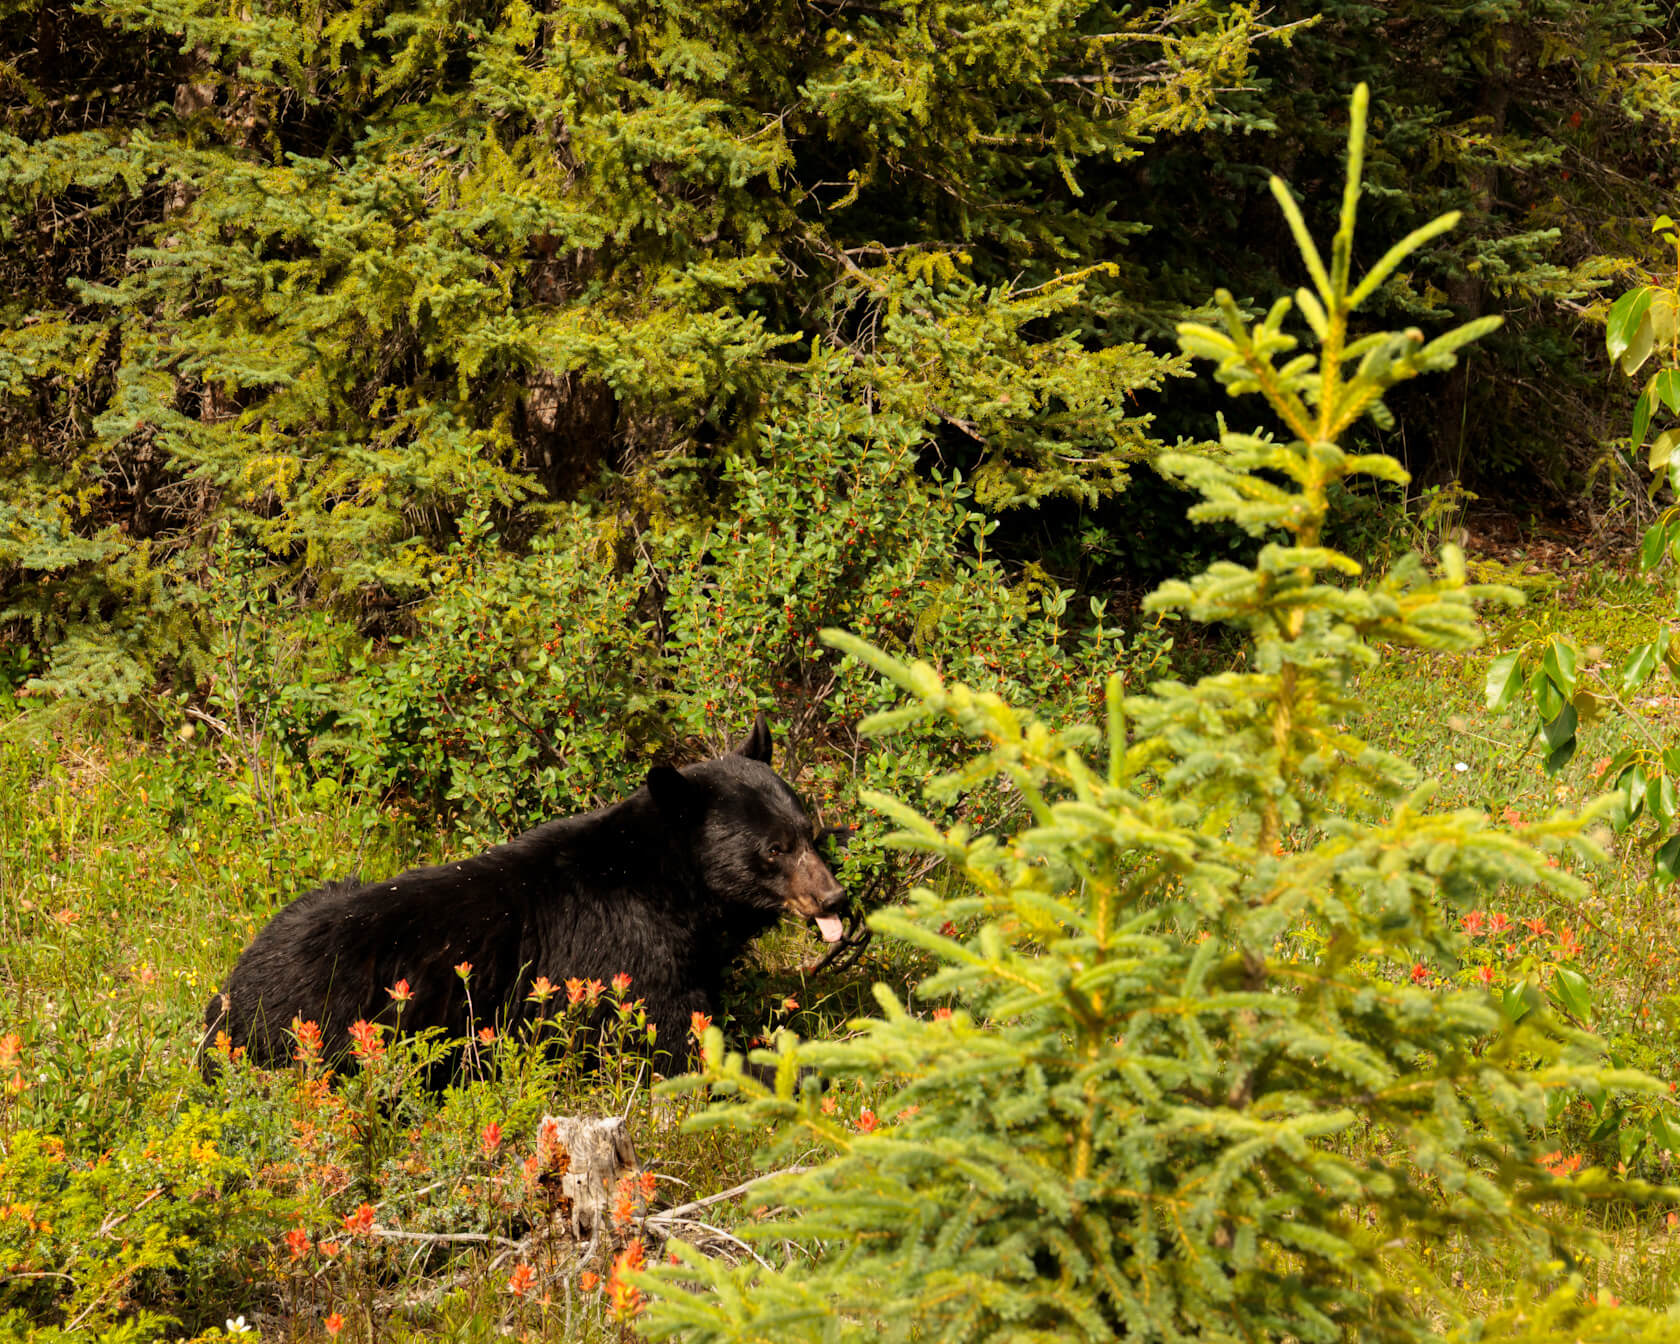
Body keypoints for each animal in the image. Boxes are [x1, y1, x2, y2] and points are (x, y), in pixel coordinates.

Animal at [200, 715, 847, 1080]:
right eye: (774, 849)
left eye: (808, 830)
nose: (834, 897)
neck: (673, 888)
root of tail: (226, 1002)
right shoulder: (629, 957)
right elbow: (676, 1038)